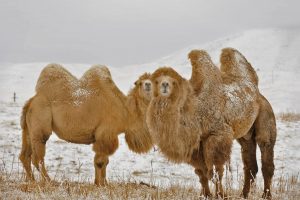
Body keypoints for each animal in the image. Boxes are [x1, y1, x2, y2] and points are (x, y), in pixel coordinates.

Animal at [19, 64, 154, 186]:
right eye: (140, 83)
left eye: (153, 81)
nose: (148, 85)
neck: (125, 111)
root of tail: (31, 101)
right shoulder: (105, 134)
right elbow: (100, 161)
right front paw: (100, 184)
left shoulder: (104, 137)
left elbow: (104, 161)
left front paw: (102, 183)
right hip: (40, 122)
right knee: (37, 156)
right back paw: (49, 181)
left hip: (28, 128)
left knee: (25, 155)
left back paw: (31, 181)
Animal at [146, 48, 276, 198]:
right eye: (156, 81)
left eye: (172, 82)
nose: (164, 85)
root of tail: (258, 94)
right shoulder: (196, 144)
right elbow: (201, 172)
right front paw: (206, 195)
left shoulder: (217, 135)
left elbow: (215, 171)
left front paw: (221, 195)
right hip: (246, 135)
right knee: (250, 163)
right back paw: (244, 194)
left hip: (266, 116)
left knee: (266, 153)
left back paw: (266, 195)